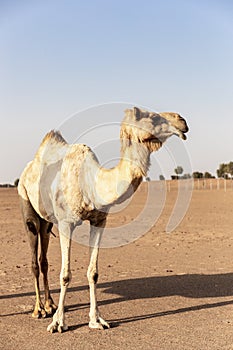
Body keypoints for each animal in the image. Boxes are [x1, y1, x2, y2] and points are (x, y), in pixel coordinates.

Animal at [18, 107, 188, 334]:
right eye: (151, 117)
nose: (182, 121)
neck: (91, 183)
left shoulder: (99, 221)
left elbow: (93, 273)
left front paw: (96, 320)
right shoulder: (66, 223)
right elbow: (65, 274)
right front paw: (58, 323)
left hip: (47, 221)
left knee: (44, 259)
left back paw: (50, 304)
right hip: (27, 203)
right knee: (34, 257)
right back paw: (39, 310)